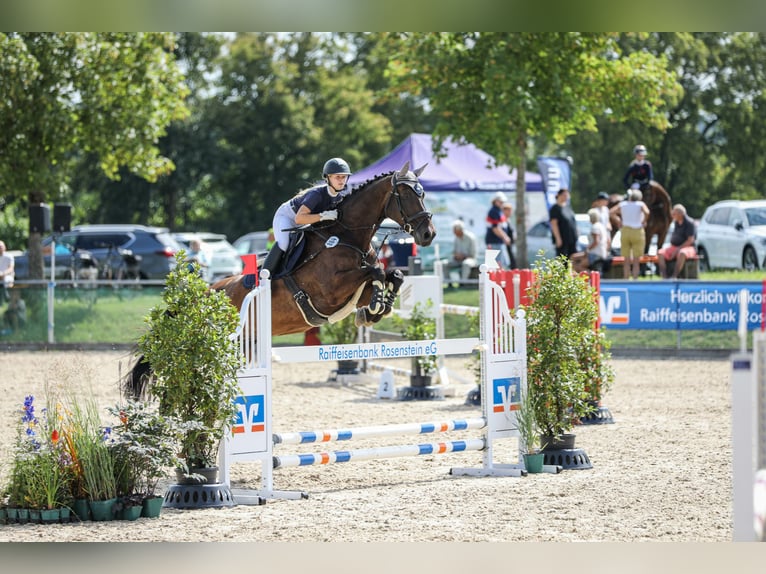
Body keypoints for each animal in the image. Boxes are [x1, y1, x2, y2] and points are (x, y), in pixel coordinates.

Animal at [127, 162, 438, 400]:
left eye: (423, 194)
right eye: (406, 195)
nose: (428, 235)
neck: (347, 236)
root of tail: (204, 293)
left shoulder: (351, 293)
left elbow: (392, 275)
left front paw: (376, 310)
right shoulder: (330, 292)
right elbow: (374, 273)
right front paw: (374, 306)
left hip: (246, 340)